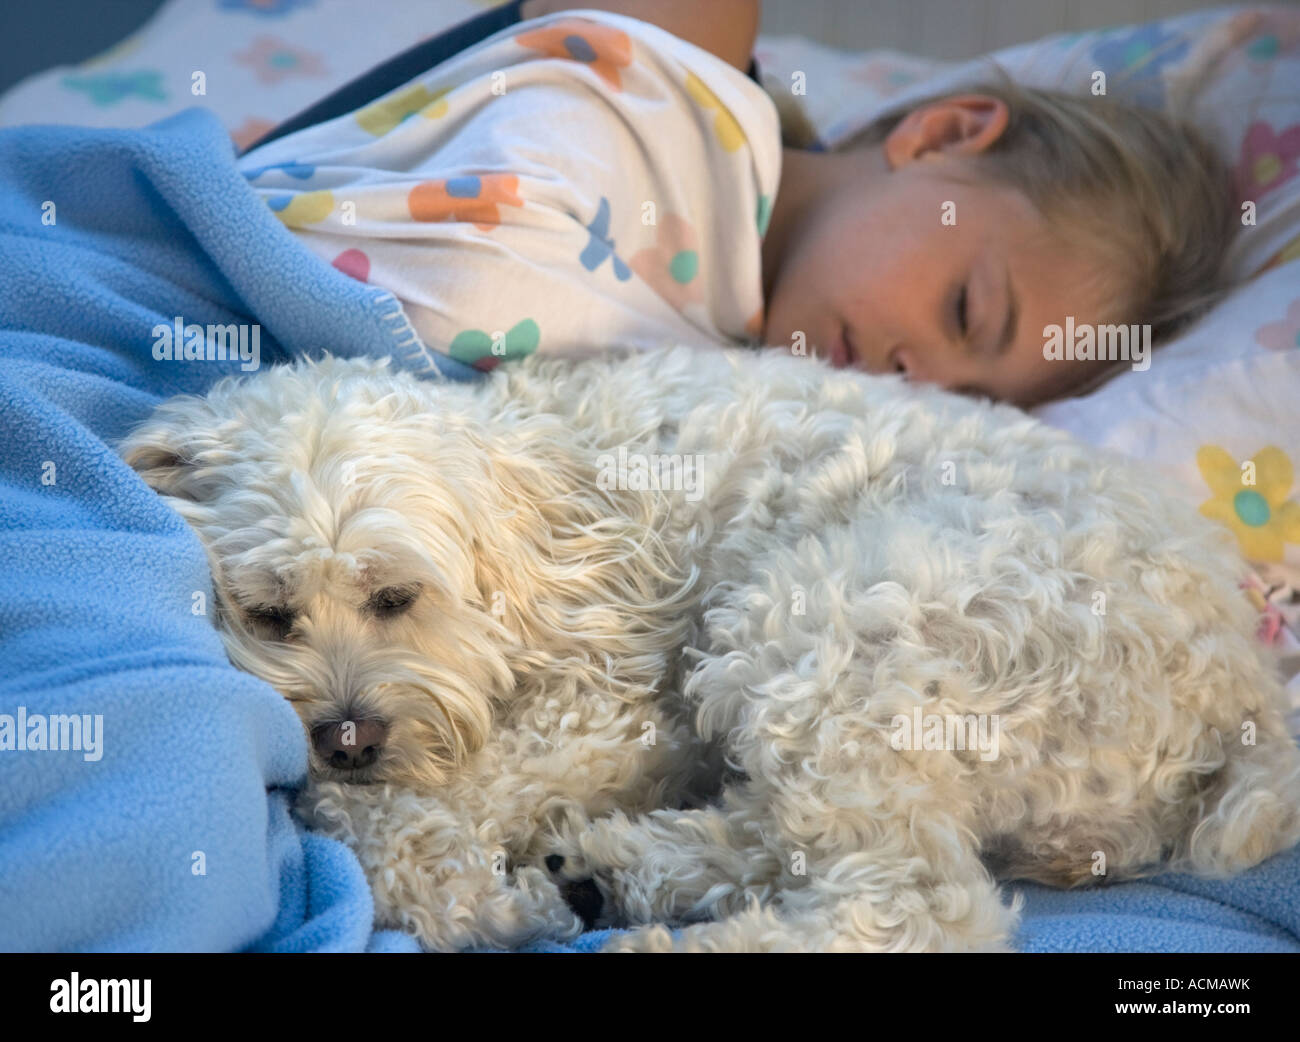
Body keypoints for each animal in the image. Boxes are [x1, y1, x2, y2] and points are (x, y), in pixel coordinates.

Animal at [122, 348, 1300, 951]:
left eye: (395, 597)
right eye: (270, 614)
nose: (345, 736)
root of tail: (1239, 694)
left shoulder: (617, 703)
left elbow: (414, 809)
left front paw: (463, 891)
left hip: (827, 629)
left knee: (913, 904)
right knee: (794, 842)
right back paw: (611, 869)